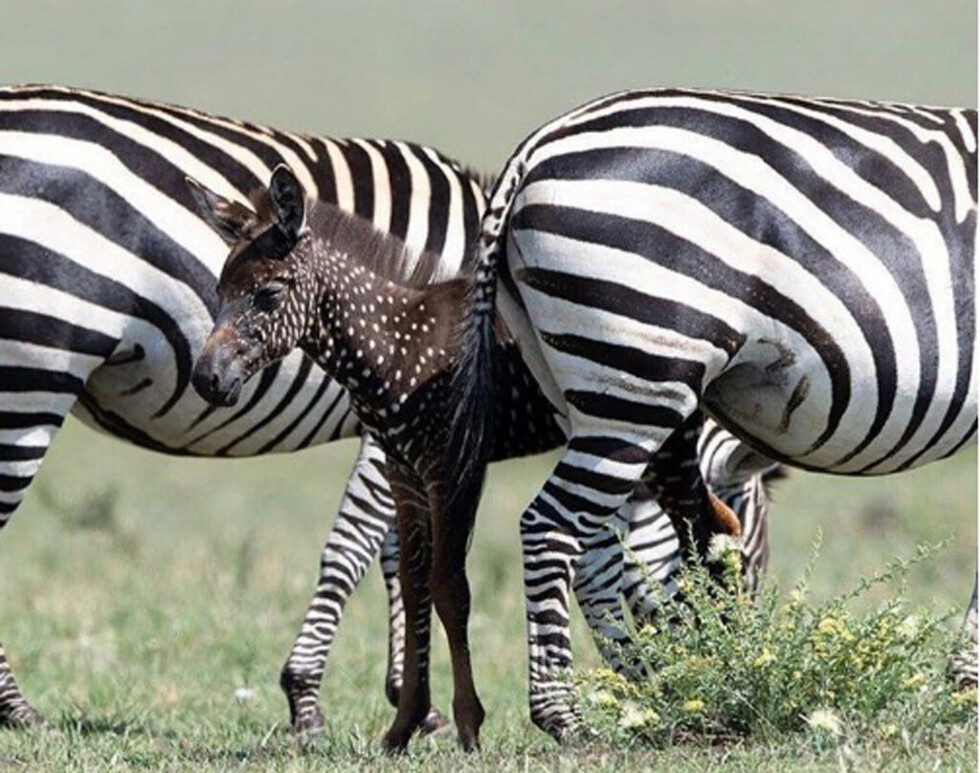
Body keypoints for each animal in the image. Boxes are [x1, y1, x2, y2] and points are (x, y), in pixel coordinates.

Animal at [0, 84, 778, 731]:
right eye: (749, 559)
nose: (718, 671)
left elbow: (400, 552)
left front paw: (408, 697)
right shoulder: (400, 430)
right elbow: (368, 549)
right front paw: (316, 699)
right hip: (32, 371)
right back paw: (20, 711)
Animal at [451, 87, 978, 741]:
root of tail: (537, 146)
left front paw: (966, 687)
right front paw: (968, 690)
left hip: (584, 387)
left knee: (595, 544)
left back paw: (637, 698)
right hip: (640, 375)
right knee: (550, 527)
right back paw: (567, 715)